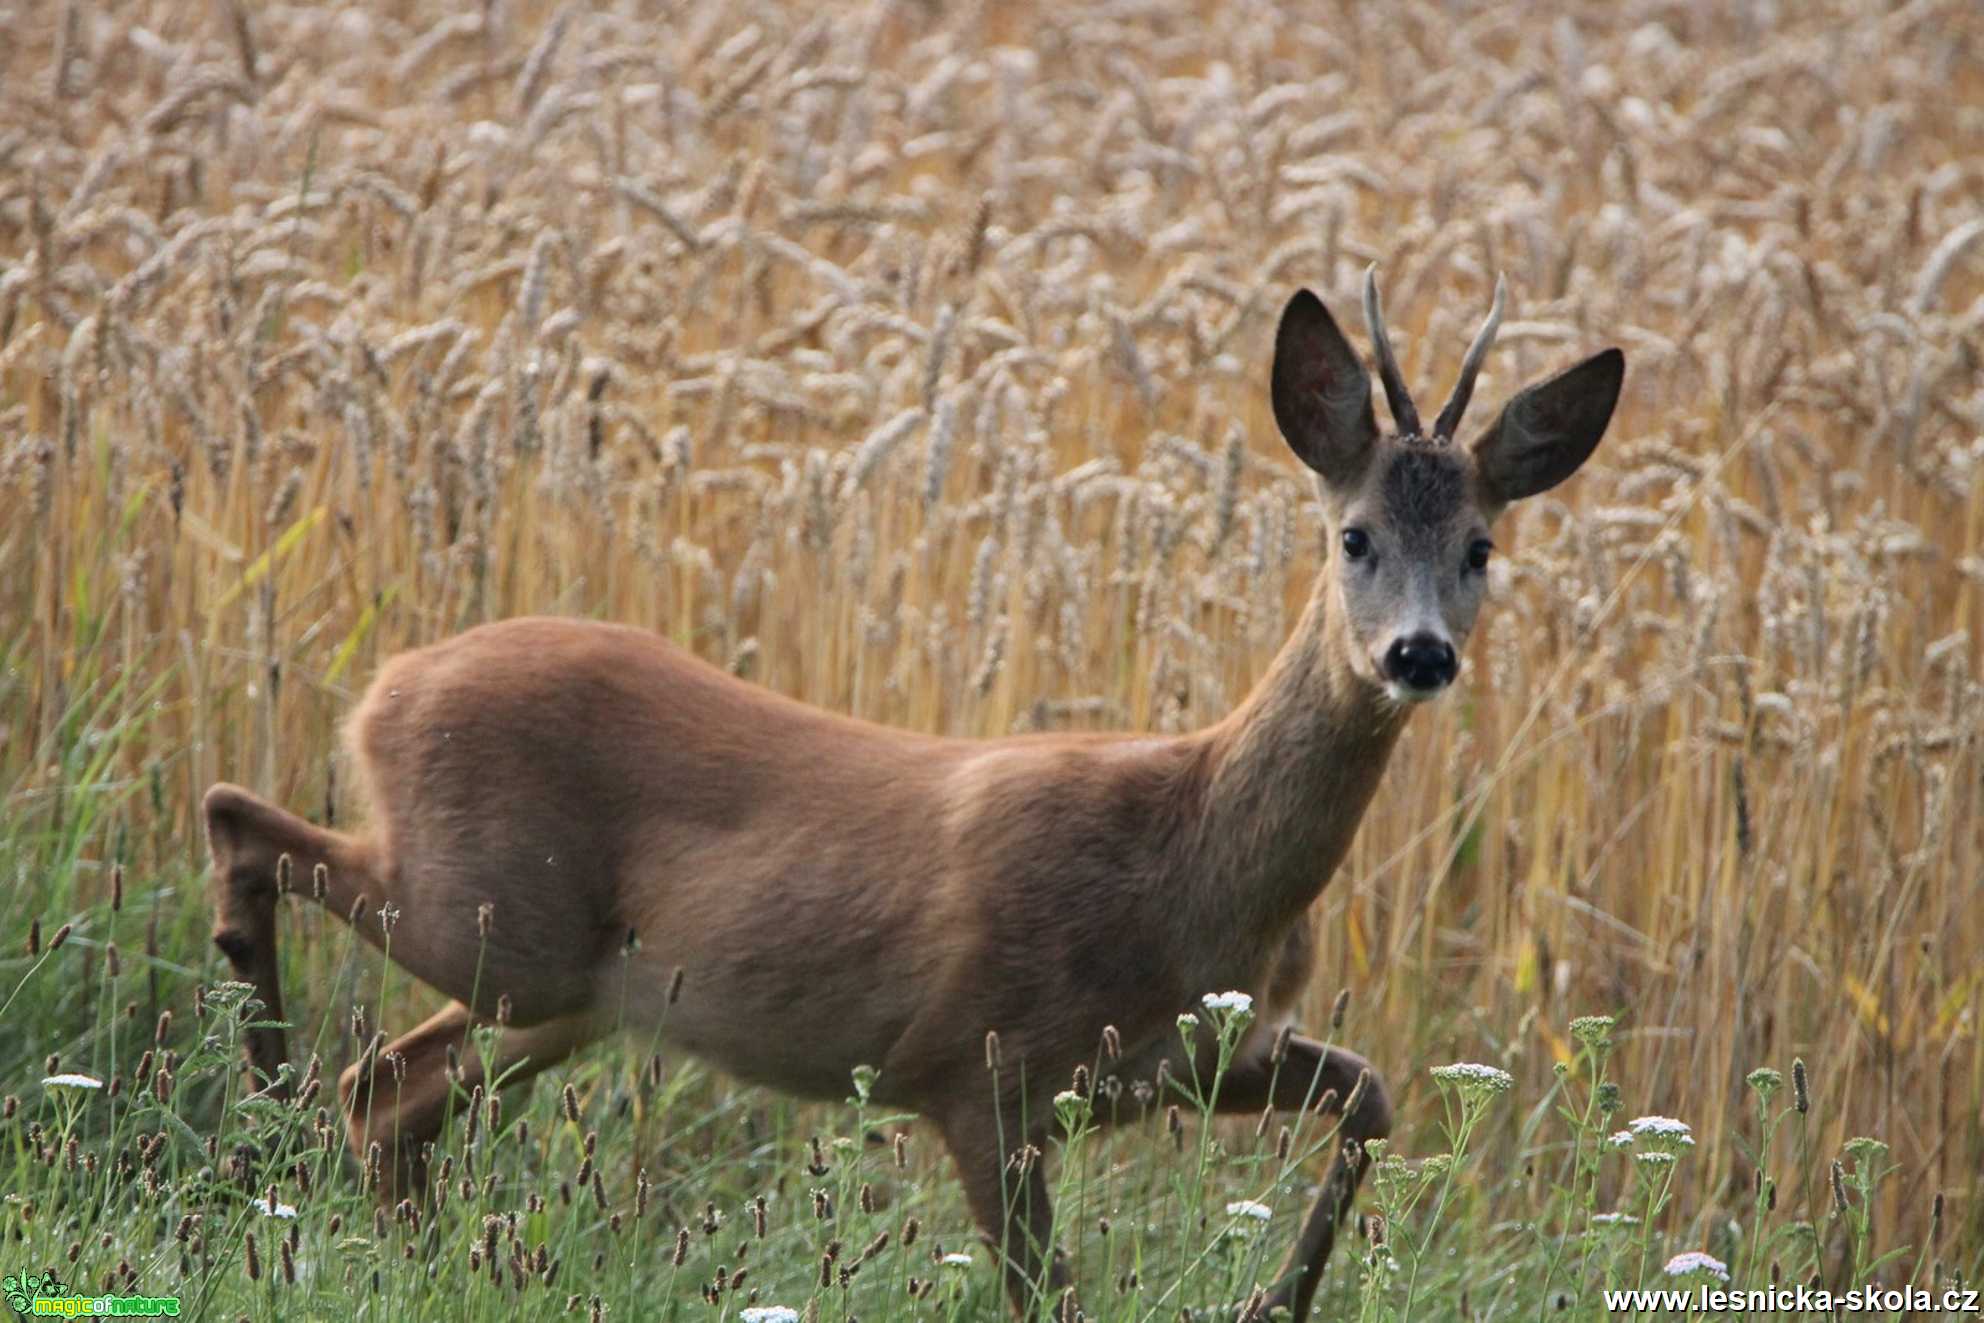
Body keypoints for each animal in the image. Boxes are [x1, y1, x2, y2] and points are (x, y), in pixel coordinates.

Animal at [205, 265, 1626, 1317]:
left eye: (1481, 547)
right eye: (1354, 536)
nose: (1418, 654)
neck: (1189, 872)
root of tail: (384, 688)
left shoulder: (1184, 1060)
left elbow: (1370, 1094)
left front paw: (1275, 1302)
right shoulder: (981, 1069)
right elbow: (1044, 1295)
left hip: (568, 996)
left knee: (391, 1091)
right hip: (499, 923)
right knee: (245, 828)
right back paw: (265, 1091)